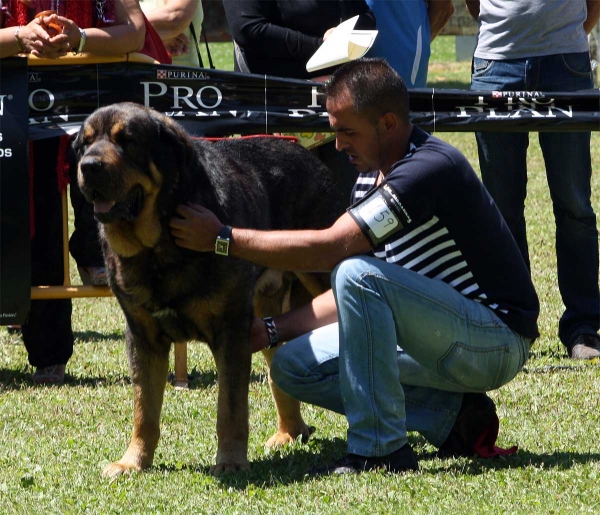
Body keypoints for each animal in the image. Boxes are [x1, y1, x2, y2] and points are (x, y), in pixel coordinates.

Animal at [74, 103, 346, 478]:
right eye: (85, 144)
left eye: (126, 140)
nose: (89, 166)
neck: (157, 246)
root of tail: (308, 156)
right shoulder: (143, 336)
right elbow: (145, 409)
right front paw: (133, 462)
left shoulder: (230, 332)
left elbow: (229, 409)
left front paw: (230, 462)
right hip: (267, 312)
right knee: (278, 363)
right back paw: (289, 433)